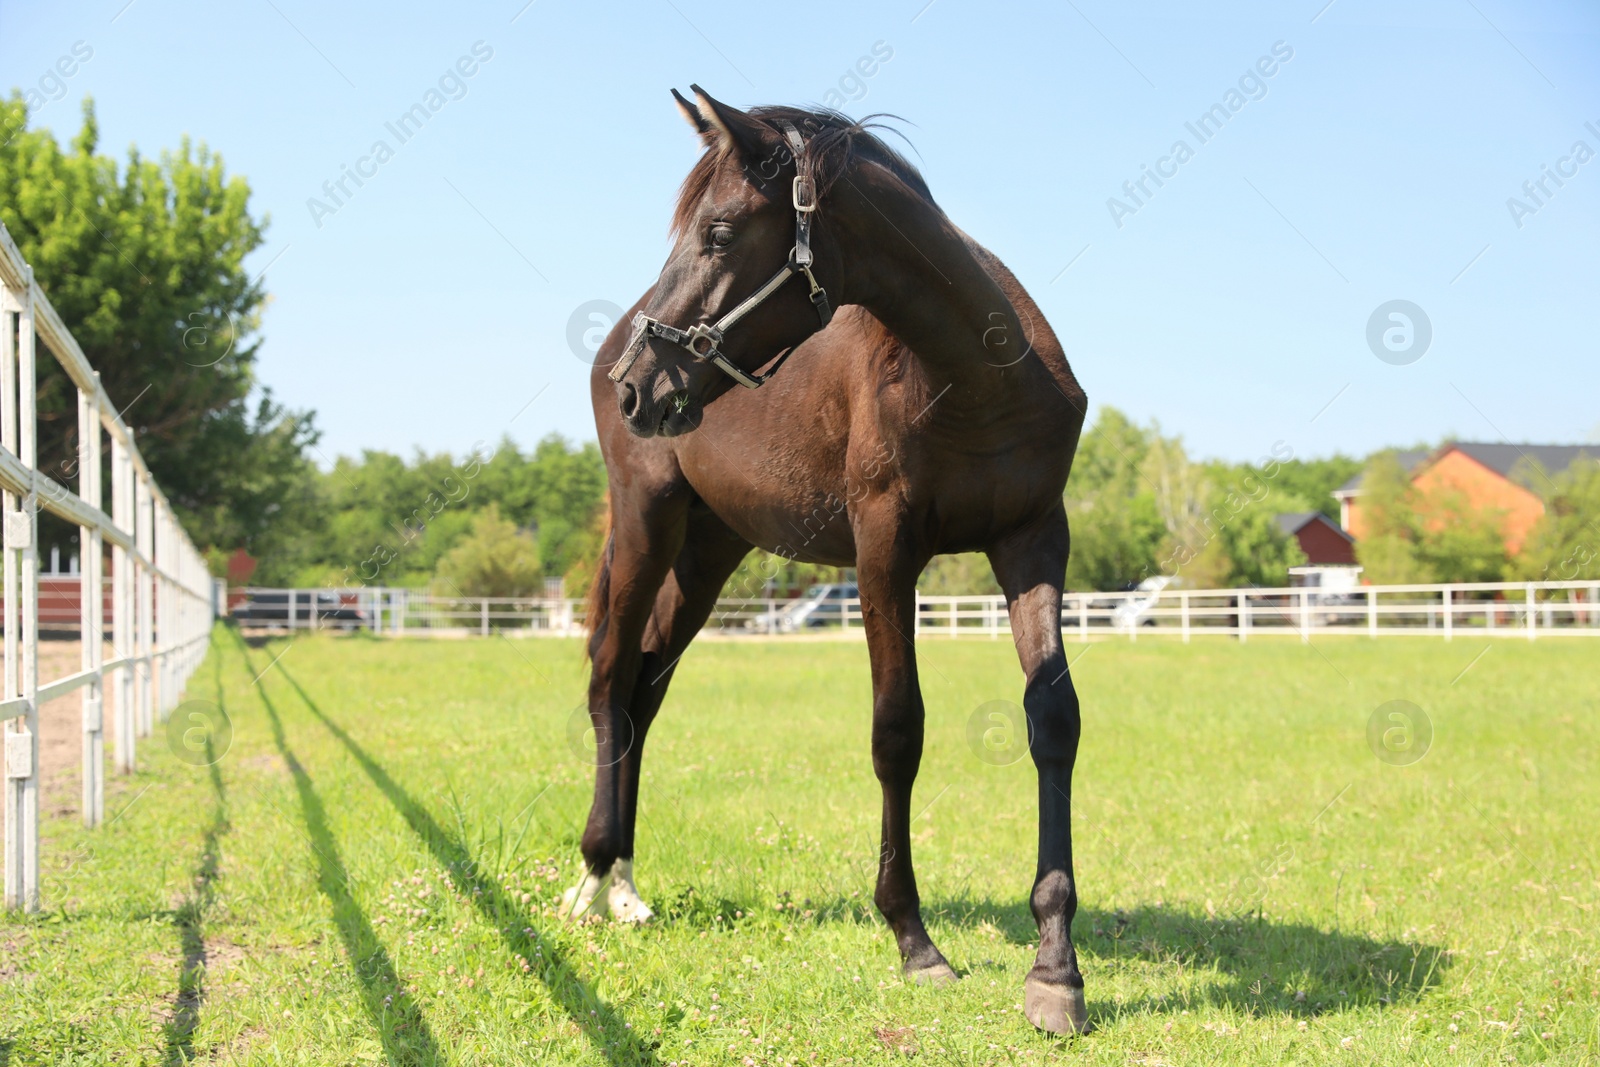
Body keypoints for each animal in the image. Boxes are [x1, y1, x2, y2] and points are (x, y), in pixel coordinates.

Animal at [569, 87, 1094, 1036]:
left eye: (719, 231)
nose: (640, 381)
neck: (978, 376)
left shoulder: (1035, 539)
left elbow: (1053, 720)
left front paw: (1055, 968)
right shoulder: (885, 548)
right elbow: (898, 730)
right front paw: (914, 939)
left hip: (709, 549)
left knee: (645, 688)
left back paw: (626, 881)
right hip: (646, 526)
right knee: (610, 678)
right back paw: (593, 878)